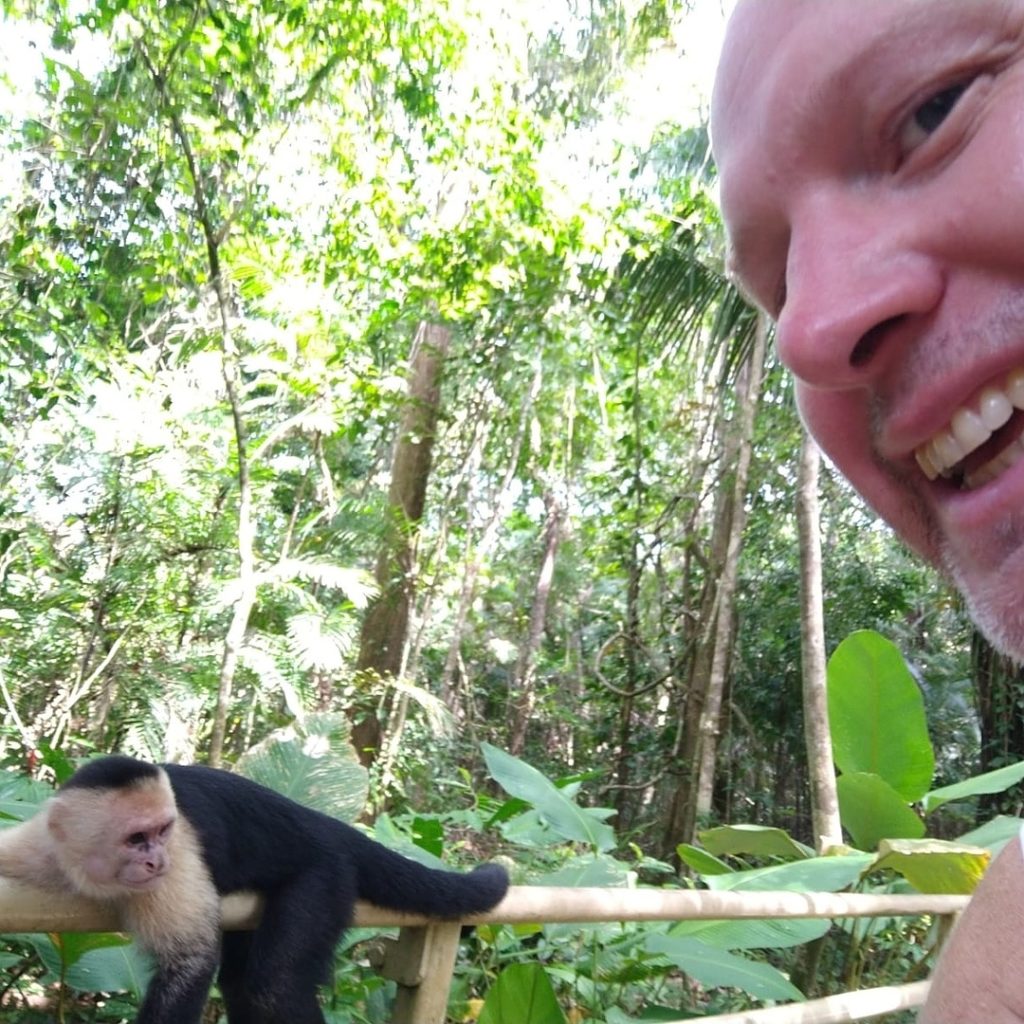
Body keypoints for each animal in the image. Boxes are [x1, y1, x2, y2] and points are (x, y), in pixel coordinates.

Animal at [0, 753, 512, 1024]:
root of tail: (320, 822)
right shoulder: (37, 846)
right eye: (135, 838)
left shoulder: (175, 869)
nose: (155, 859)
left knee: (274, 986)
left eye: (163, 831)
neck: (89, 873)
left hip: (324, 874)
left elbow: (192, 962)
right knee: (241, 982)